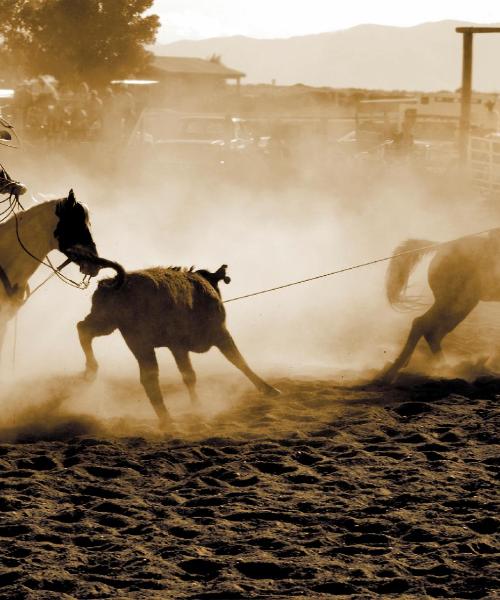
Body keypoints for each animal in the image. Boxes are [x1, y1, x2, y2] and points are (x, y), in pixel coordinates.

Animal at [78, 264, 282, 428]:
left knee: (83, 329)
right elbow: (238, 361)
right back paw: (167, 419)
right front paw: (269, 390)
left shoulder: (177, 346)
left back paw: (91, 371)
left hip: (109, 324)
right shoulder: (217, 335)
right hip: (136, 336)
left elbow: (191, 374)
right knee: (151, 375)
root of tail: (113, 282)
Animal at [380, 230, 500, 380]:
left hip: (457, 306)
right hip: (454, 303)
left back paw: (445, 368)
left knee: (433, 333)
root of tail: (441, 246)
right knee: (422, 325)